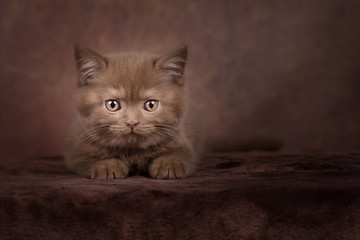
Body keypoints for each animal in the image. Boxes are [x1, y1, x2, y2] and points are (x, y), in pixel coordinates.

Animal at [64, 44, 202, 180]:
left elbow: (181, 154)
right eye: (112, 105)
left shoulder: (183, 143)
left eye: (151, 105)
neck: (133, 153)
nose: (132, 123)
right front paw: (107, 165)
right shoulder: (75, 150)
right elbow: (86, 158)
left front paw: (169, 164)